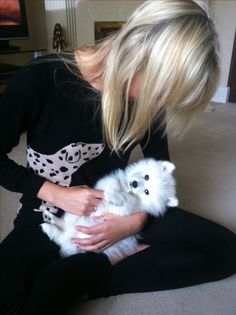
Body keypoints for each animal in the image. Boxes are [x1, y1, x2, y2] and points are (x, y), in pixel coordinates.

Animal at [41, 159, 177, 262]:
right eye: (147, 176)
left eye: (146, 192)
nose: (134, 184)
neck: (127, 189)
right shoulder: (109, 181)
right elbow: (114, 182)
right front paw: (111, 192)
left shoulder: (126, 210)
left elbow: (127, 200)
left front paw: (113, 197)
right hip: (74, 214)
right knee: (63, 227)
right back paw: (50, 218)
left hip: (79, 239)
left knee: (61, 238)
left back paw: (49, 226)